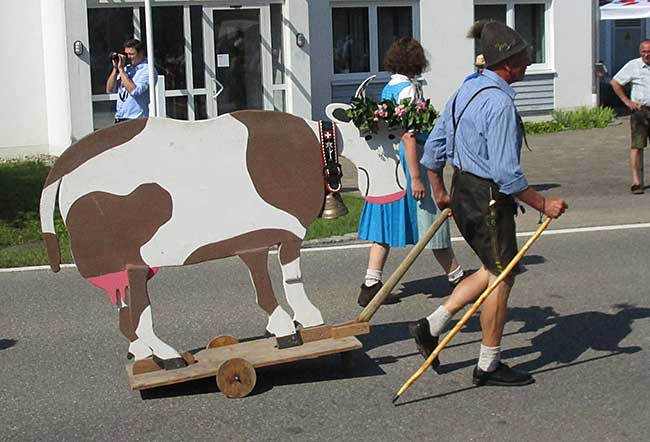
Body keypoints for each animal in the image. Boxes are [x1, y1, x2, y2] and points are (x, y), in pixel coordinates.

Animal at [39, 103, 404, 370]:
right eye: (373, 135)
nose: (396, 191)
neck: (316, 148)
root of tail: (64, 165)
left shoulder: (256, 238)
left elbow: (271, 283)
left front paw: (294, 324)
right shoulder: (283, 233)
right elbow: (286, 282)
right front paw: (297, 325)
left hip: (126, 269)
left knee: (125, 315)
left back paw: (144, 355)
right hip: (127, 262)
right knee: (137, 317)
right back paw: (169, 357)